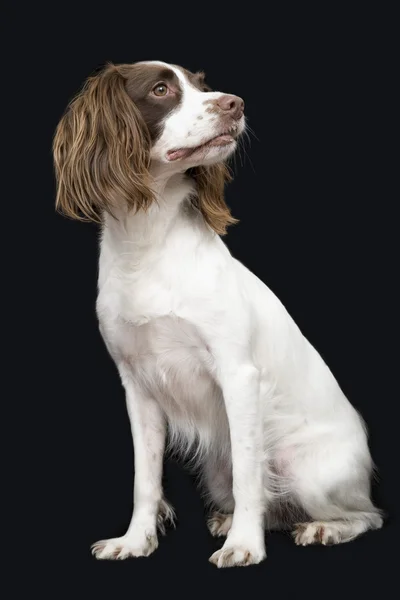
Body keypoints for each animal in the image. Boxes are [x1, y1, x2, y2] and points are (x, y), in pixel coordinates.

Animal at [52, 61, 382, 568]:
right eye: (161, 89)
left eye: (202, 85)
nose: (235, 104)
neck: (149, 243)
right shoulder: (137, 386)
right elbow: (145, 479)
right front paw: (135, 541)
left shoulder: (237, 373)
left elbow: (250, 474)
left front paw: (244, 546)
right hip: (215, 470)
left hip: (308, 472)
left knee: (365, 514)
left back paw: (321, 527)